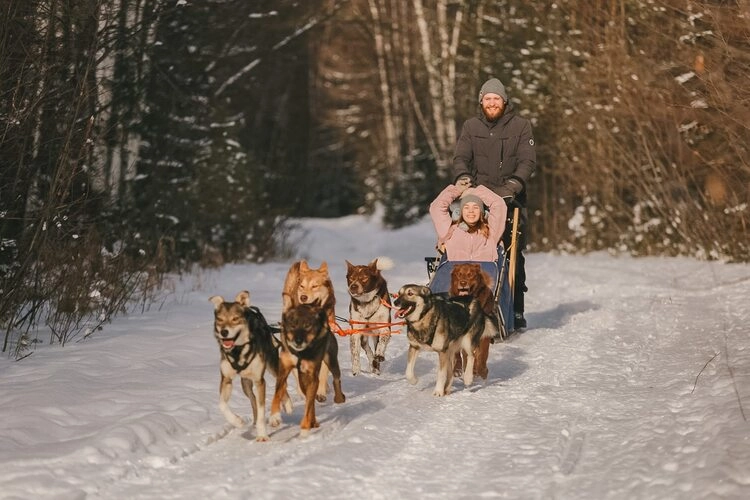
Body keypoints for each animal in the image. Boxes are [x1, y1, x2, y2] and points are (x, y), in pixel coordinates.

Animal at [270, 294, 346, 436]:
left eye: (307, 325)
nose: (298, 341)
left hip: (331, 360)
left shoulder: (312, 376)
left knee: (336, 378)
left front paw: (305, 429)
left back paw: (339, 398)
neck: (301, 353)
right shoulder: (283, 369)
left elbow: (308, 406)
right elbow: (278, 392)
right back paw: (314, 421)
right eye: (293, 325)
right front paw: (274, 417)